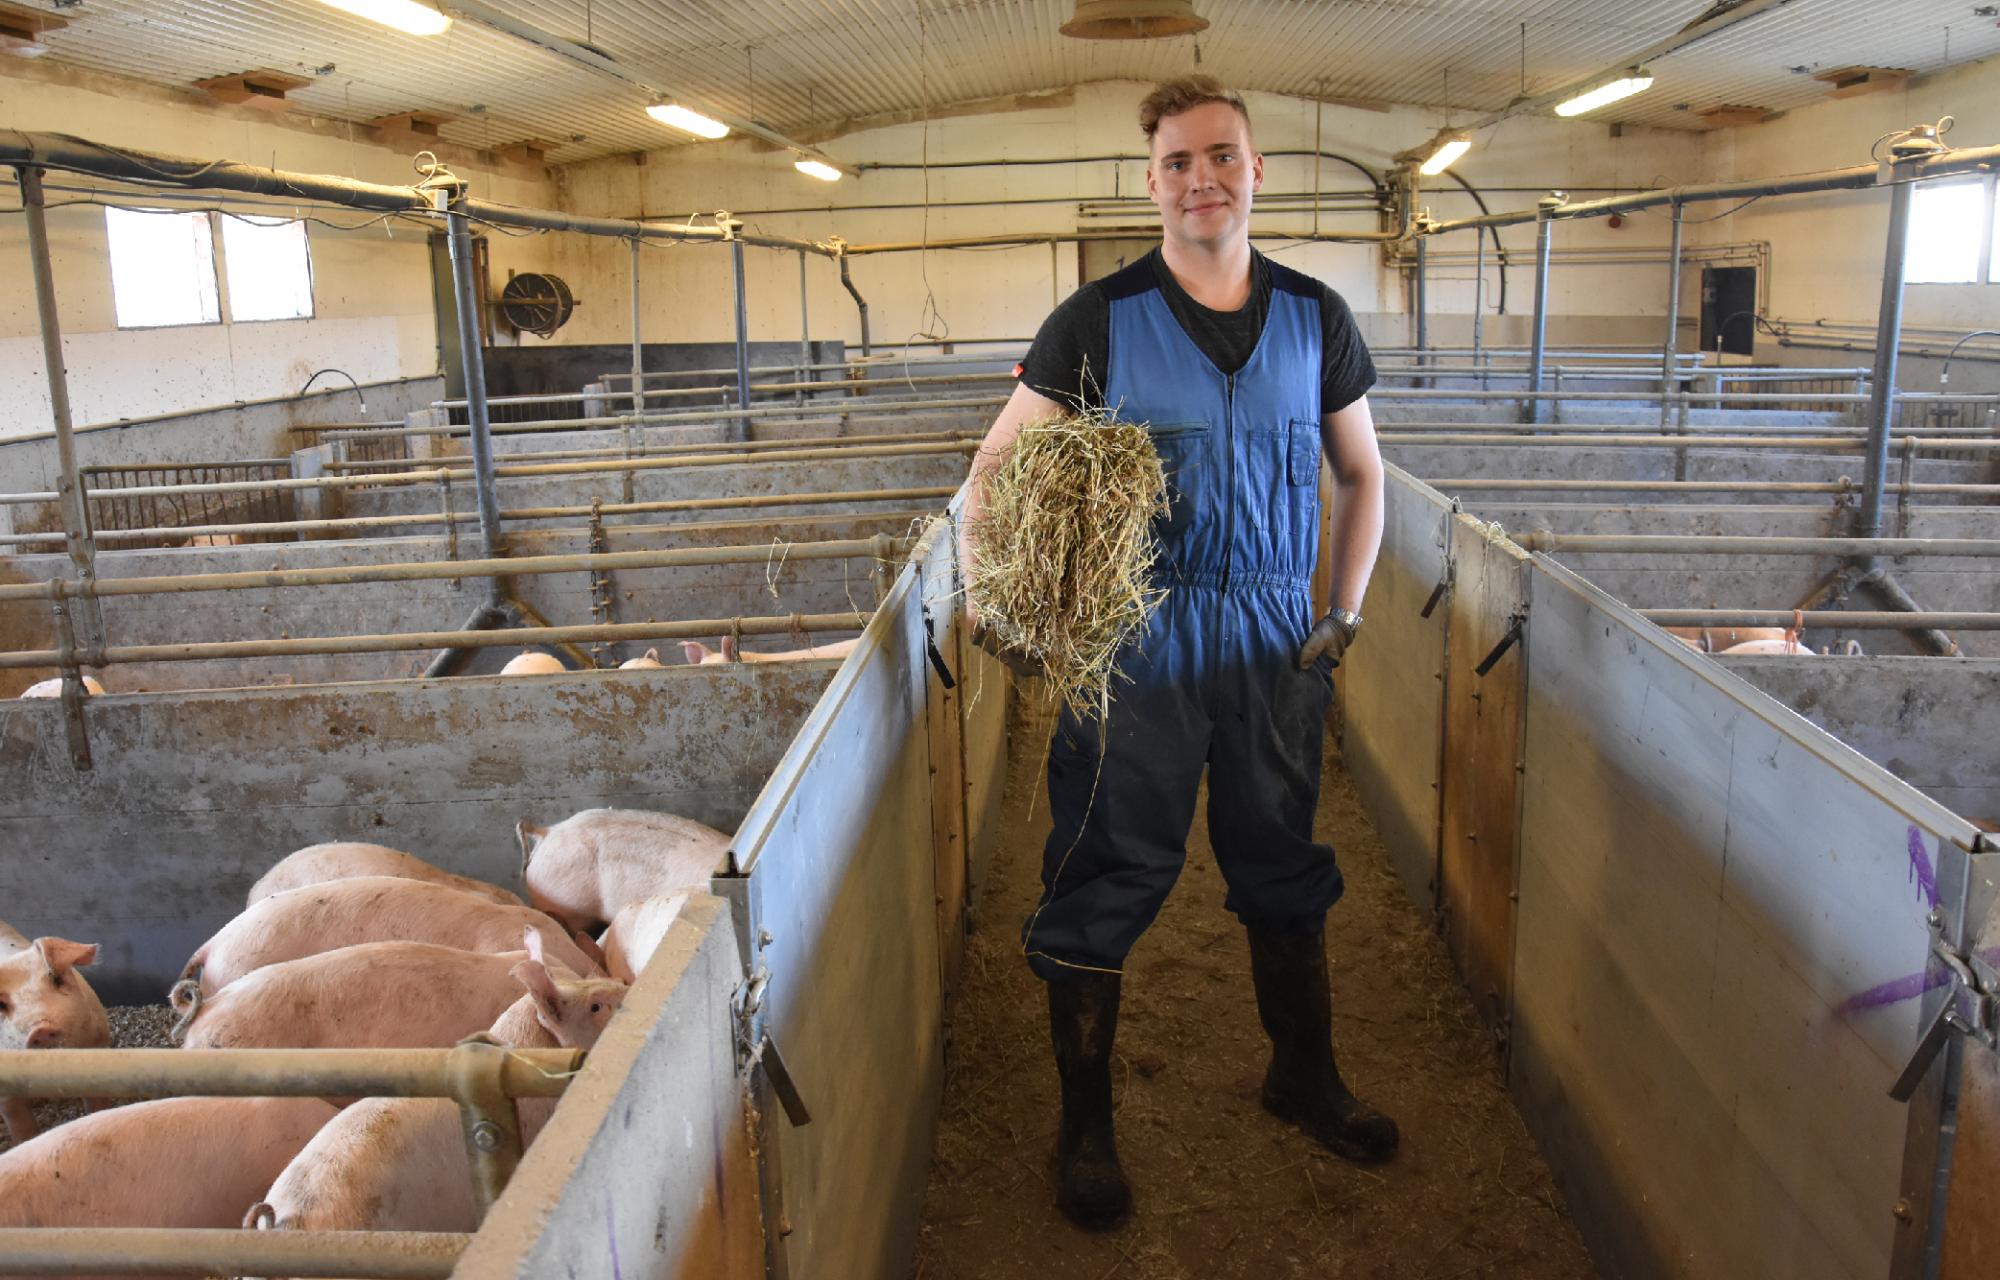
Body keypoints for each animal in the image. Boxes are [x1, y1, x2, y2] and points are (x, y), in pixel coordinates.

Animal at [0, 928, 110, 1146]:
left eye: (56, 978)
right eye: (0, 1004)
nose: (40, 1029)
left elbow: (98, 1107)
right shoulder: (6, 1096)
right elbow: (21, 1127)